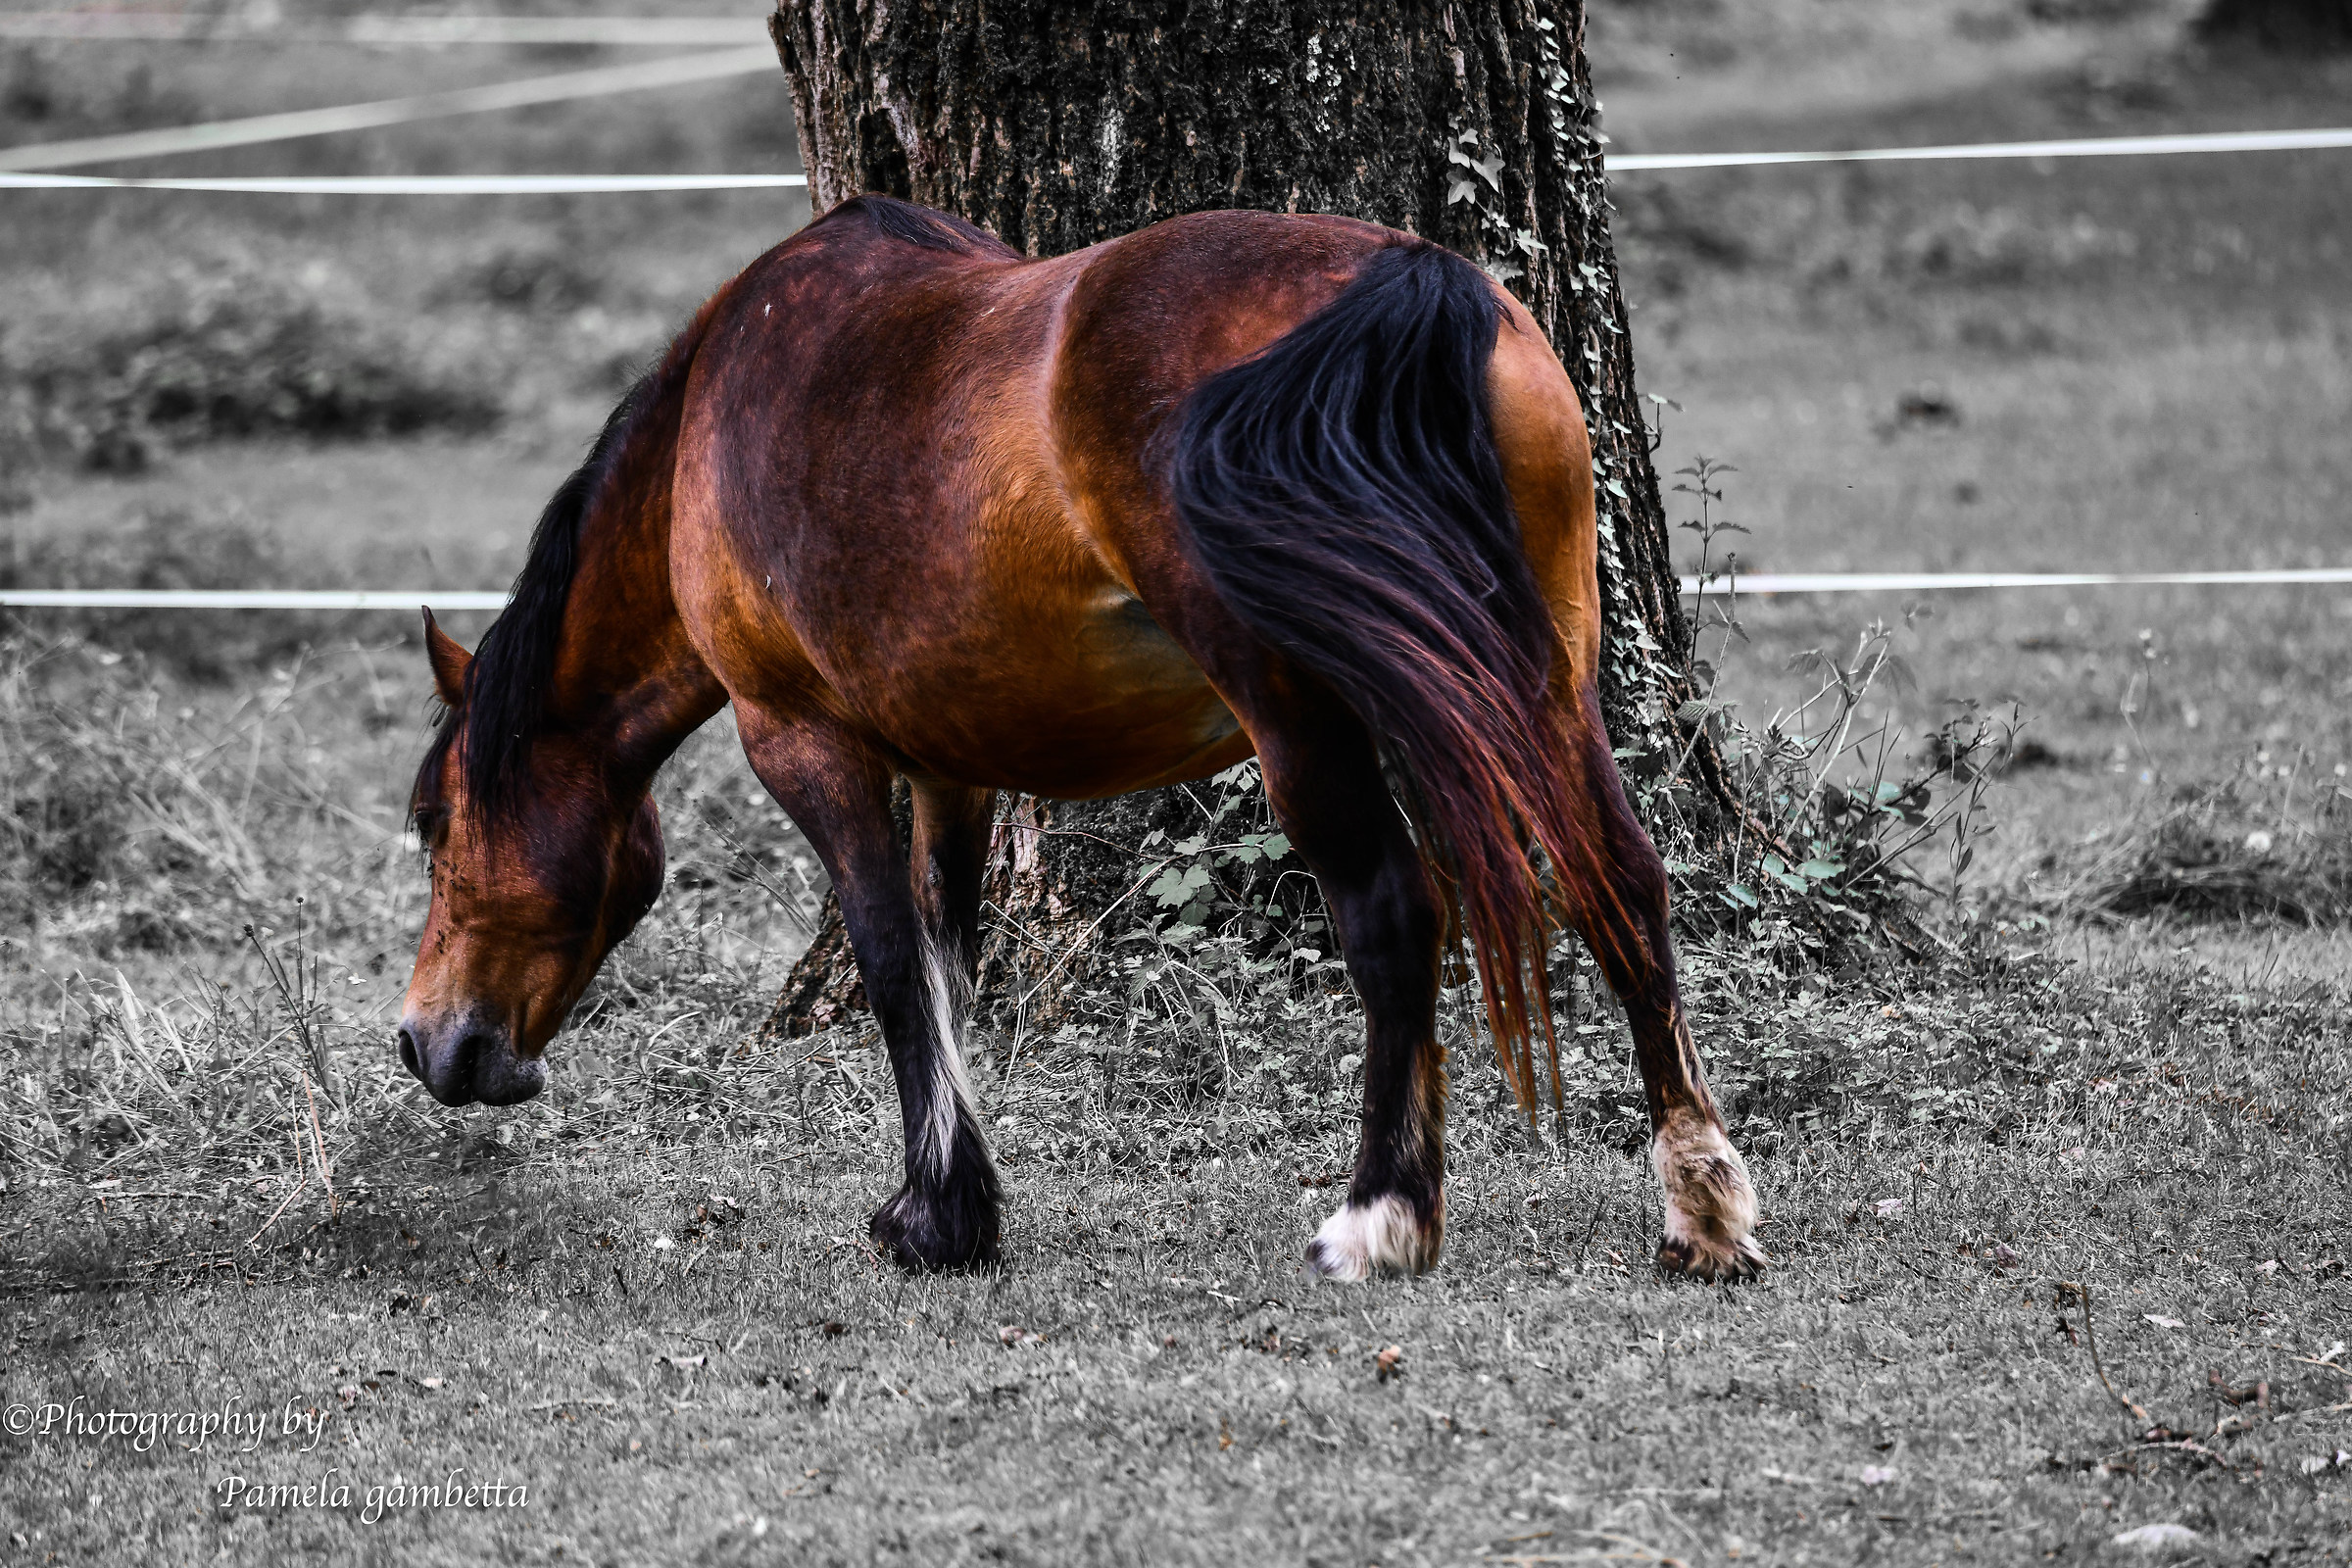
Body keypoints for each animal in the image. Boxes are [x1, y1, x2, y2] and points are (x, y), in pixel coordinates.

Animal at [400, 194, 1766, 1283]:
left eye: (432, 822)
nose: (428, 1043)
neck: (715, 415)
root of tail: (1415, 284)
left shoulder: (804, 742)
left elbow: (889, 961)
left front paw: (938, 1218)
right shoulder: (946, 765)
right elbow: (948, 956)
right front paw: (950, 1181)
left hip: (1304, 721)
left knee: (1395, 913)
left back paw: (1383, 1216)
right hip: (1545, 679)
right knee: (1622, 879)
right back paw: (1701, 1205)